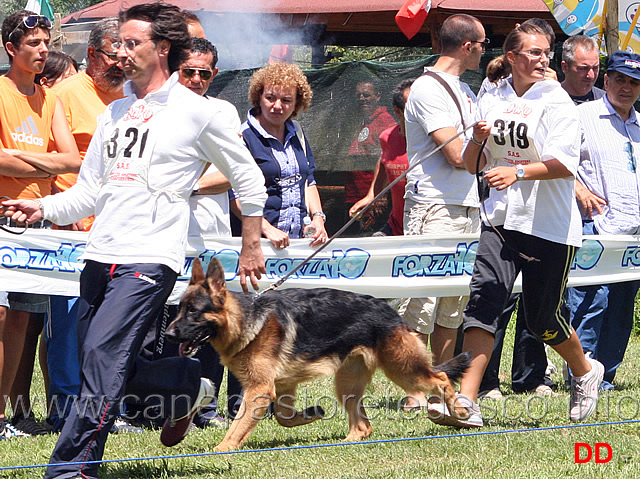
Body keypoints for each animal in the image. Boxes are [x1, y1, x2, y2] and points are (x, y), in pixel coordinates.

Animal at [168, 258, 472, 450]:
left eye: (193, 311)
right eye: (179, 309)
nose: (169, 335)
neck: (247, 319)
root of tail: (389, 309)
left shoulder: (260, 389)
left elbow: (240, 423)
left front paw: (224, 448)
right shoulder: (281, 386)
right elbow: (283, 417)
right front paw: (311, 414)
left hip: (402, 369)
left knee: (441, 378)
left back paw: (458, 411)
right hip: (347, 385)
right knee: (363, 427)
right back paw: (346, 442)